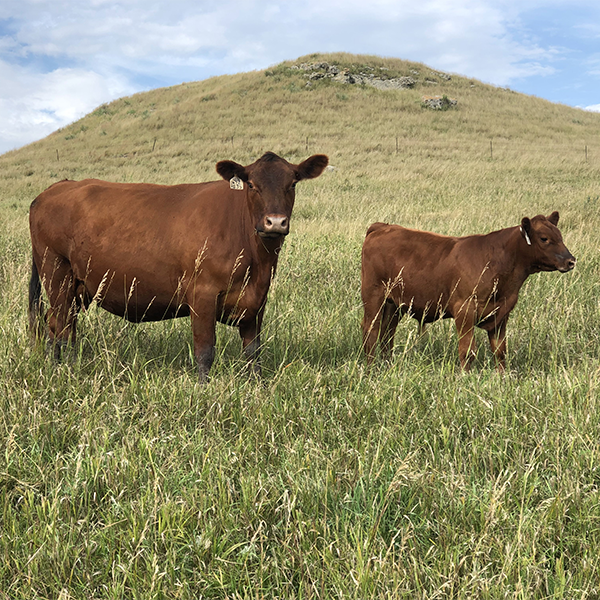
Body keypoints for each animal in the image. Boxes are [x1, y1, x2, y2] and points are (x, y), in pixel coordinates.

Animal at [28, 152, 328, 378]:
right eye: (252, 184)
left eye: (293, 183)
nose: (275, 222)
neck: (257, 265)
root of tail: (56, 187)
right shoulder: (202, 294)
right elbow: (205, 351)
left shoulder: (256, 301)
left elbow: (253, 352)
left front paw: (257, 387)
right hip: (56, 273)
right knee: (59, 326)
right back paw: (63, 369)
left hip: (78, 287)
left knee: (62, 324)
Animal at [360, 211, 576, 370]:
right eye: (544, 238)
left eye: (560, 236)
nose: (571, 260)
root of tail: (383, 226)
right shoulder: (464, 310)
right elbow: (468, 351)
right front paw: (465, 378)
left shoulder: (501, 314)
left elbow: (500, 351)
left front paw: (502, 378)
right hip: (373, 295)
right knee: (371, 330)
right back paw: (371, 368)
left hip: (393, 304)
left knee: (387, 333)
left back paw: (387, 365)